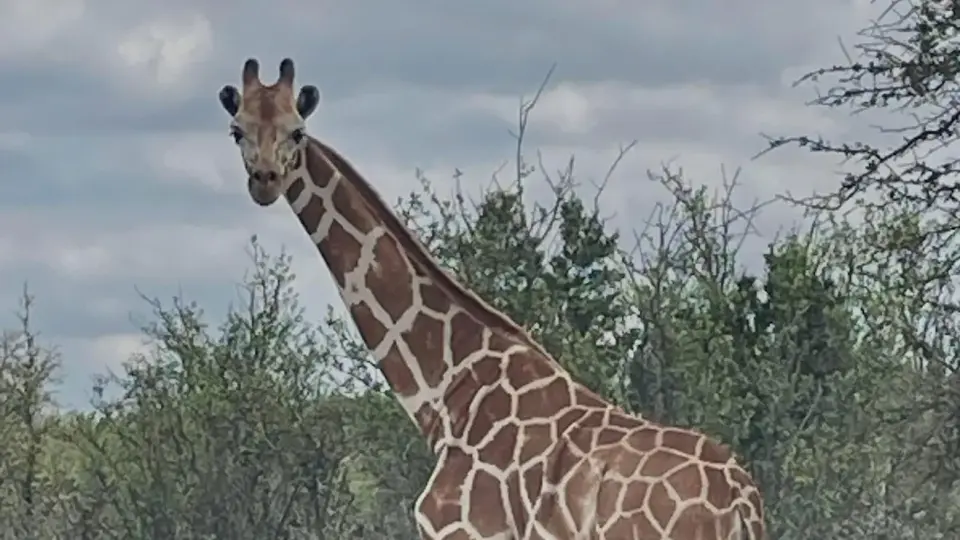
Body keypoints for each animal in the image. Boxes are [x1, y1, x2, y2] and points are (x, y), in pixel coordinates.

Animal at [217, 58, 767, 540]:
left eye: (297, 132)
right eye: (237, 130)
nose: (265, 181)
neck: (446, 394)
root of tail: (741, 503)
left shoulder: (462, 531)